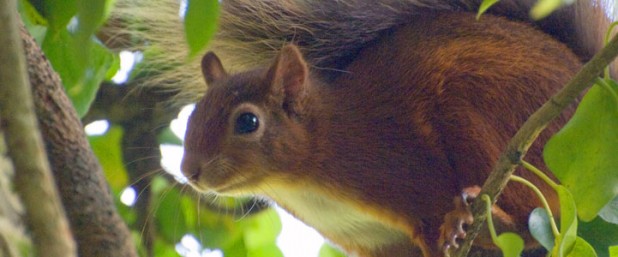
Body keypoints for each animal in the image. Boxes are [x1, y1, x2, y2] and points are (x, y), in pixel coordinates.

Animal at [179, 11, 584, 256]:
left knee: (532, 218)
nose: (188, 171)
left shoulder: (414, 176)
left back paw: (486, 218)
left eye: (248, 122)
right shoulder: (378, 245)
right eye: (193, 114)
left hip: (485, 119)